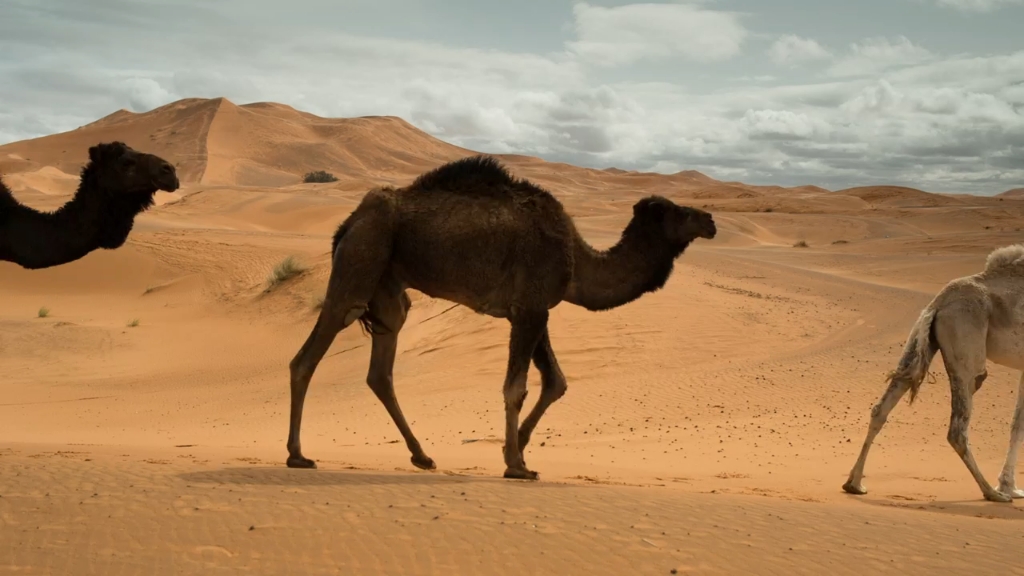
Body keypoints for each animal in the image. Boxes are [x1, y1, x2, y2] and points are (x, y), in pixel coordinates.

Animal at [288, 154, 716, 477]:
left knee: (380, 371)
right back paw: (297, 455)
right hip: (360, 262)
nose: (711, 221)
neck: (579, 262)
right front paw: (516, 464)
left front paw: (520, 448)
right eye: (679, 211)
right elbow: (518, 387)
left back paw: (422, 456)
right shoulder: (530, 308)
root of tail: (350, 221)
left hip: (388, 292)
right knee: (309, 354)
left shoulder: (533, 309)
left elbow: (556, 382)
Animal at [839, 243, 1024, 500]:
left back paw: (854, 484)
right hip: (967, 353)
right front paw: (1007, 488)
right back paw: (991, 493)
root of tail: (939, 303)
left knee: (881, 408)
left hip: (917, 341)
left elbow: (1017, 422)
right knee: (958, 428)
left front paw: (1010, 486)